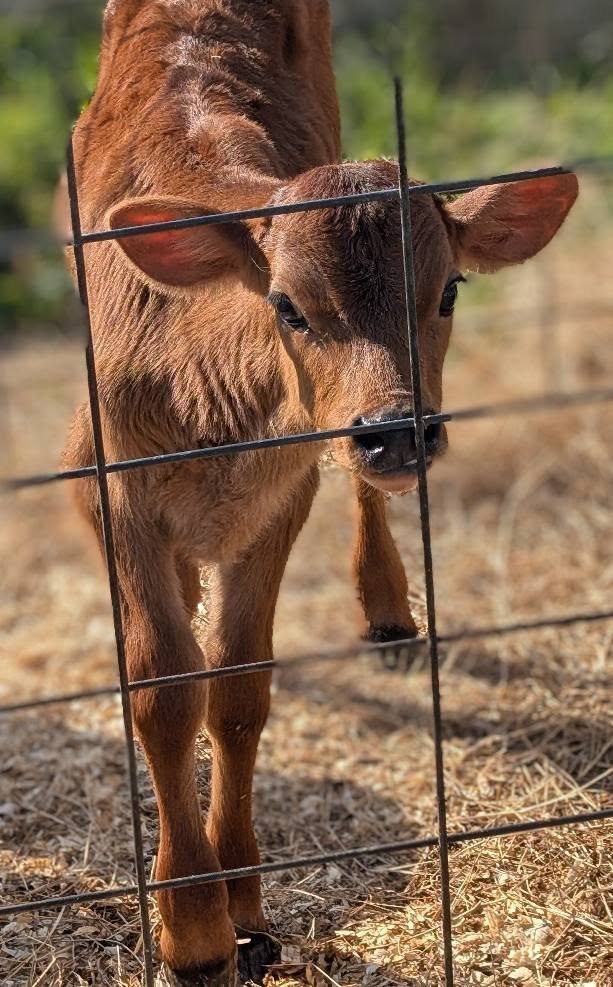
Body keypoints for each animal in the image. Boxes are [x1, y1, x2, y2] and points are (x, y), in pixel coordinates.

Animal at [63, 1, 578, 983]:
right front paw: (191, 929)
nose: (396, 429)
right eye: (287, 306)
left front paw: (240, 906)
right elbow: (163, 689)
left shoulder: (284, 492)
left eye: (447, 291)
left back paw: (386, 604)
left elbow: (237, 690)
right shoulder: (107, 489)